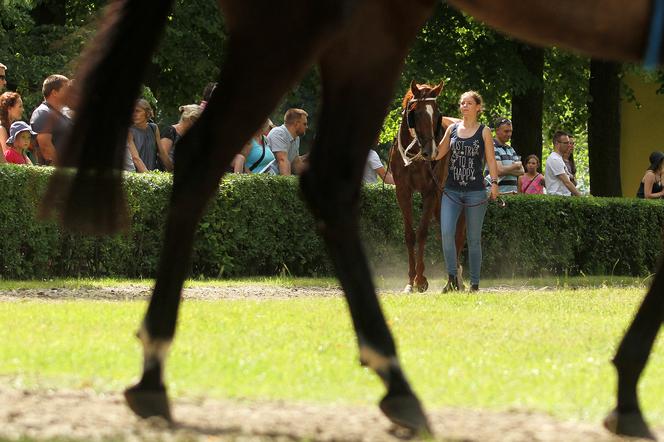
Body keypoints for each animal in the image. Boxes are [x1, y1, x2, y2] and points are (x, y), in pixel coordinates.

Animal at [390, 80, 466, 292]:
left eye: (437, 113)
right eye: (415, 113)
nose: (431, 151)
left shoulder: (431, 192)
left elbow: (423, 232)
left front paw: (421, 280)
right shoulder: (403, 192)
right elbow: (410, 235)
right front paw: (410, 281)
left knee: (458, 233)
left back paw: (456, 279)